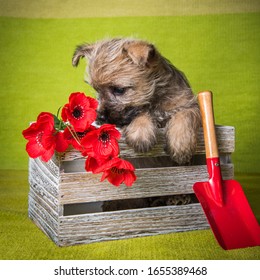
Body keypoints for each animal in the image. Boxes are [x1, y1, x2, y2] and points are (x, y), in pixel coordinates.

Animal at [72, 37, 201, 164]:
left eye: (119, 90)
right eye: (97, 90)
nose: (100, 117)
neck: (154, 102)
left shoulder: (189, 104)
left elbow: (185, 115)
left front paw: (181, 144)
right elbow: (140, 114)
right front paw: (140, 132)